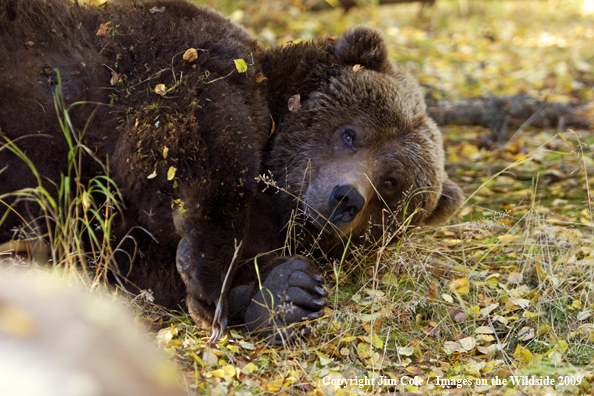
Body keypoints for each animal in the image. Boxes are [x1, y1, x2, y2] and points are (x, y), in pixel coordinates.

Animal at [0, 0, 462, 342]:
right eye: (351, 134)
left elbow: (124, 251)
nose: (347, 197)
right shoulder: (179, 52)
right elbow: (199, 130)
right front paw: (211, 279)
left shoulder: (93, 215)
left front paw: (286, 292)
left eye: (391, 184)